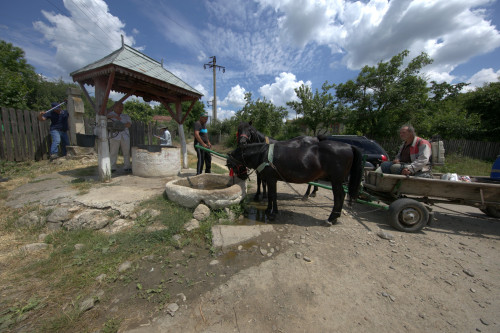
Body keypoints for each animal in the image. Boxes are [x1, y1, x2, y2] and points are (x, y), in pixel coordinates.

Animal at [228, 139, 364, 224]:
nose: (243, 177)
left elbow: (272, 195)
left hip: (336, 181)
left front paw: (272, 214)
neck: (264, 154)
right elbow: (272, 196)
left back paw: (331, 218)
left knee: (339, 196)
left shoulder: (271, 179)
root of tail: (349, 146)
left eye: (231, 165)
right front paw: (269, 210)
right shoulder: (273, 180)